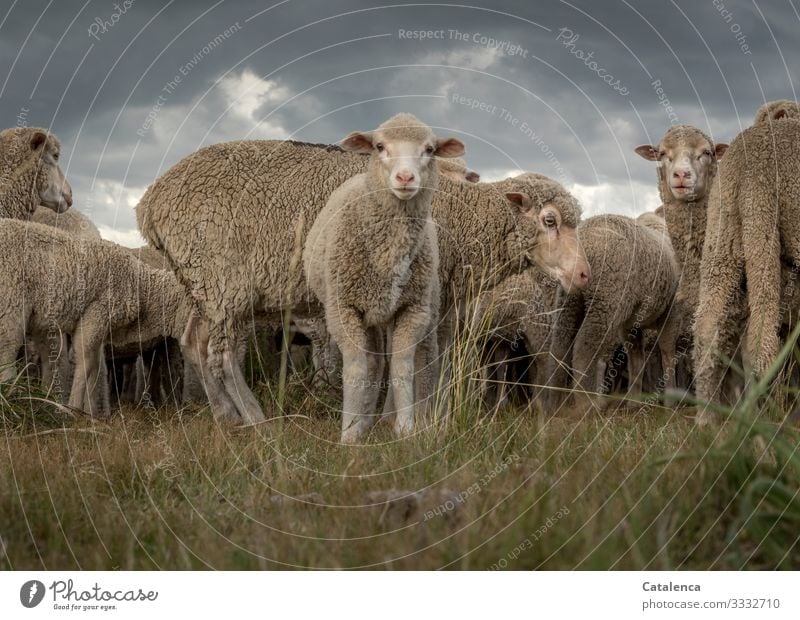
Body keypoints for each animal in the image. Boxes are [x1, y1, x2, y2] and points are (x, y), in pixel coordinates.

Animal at [0, 219, 198, 416]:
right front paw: (73, 408)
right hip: (10, 304)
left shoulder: (100, 326)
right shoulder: (96, 313)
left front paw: (90, 412)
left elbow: (94, 365)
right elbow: (86, 362)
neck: (143, 289)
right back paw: (10, 398)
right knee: (7, 352)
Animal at [302, 112, 460, 440]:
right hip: (367, 312)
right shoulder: (343, 309)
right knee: (373, 361)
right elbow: (356, 368)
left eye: (429, 149)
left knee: (408, 359)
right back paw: (363, 422)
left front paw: (405, 428)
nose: (405, 178)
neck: (388, 253)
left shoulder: (412, 310)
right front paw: (349, 433)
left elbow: (402, 366)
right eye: (379, 146)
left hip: (411, 308)